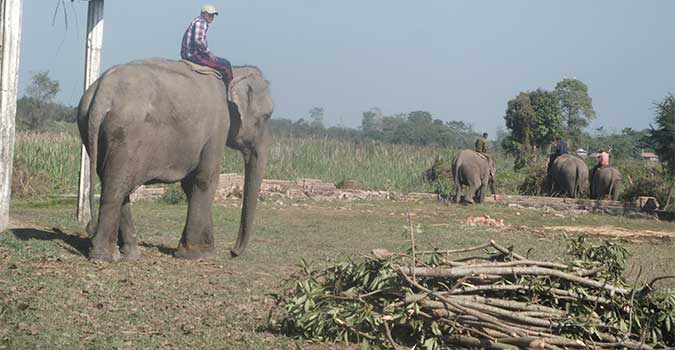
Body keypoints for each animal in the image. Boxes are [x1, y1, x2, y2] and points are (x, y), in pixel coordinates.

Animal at [76, 58, 272, 262]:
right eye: (267, 116)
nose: (233, 252)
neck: (233, 72)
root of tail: (102, 92)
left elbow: (190, 185)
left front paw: (206, 251)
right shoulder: (218, 127)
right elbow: (206, 180)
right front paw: (194, 255)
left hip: (91, 129)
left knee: (116, 183)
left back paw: (130, 255)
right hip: (125, 135)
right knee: (117, 186)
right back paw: (105, 257)